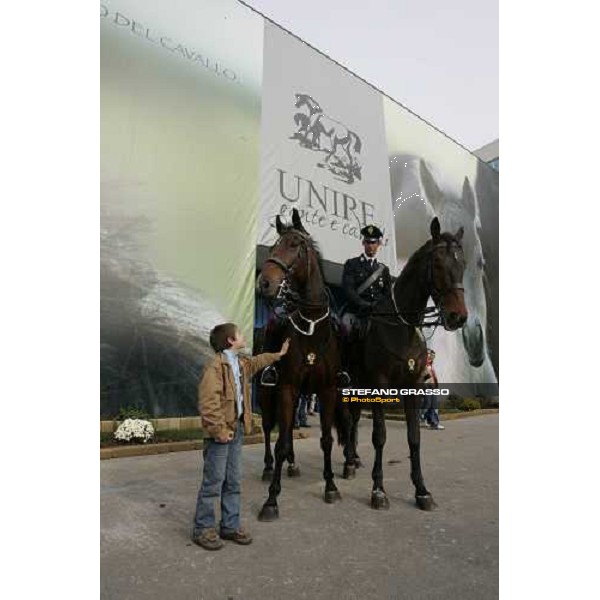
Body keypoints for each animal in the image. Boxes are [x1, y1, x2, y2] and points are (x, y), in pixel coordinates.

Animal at [342, 219, 468, 510]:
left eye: (463, 264)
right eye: (438, 263)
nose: (458, 317)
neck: (401, 327)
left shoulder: (413, 387)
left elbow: (414, 437)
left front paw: (421, 490)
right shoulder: (379, 386)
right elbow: (379, 436)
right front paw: (378, 490)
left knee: (354, 419)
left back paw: (353, 459)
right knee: (349, 419)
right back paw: (347, 462)